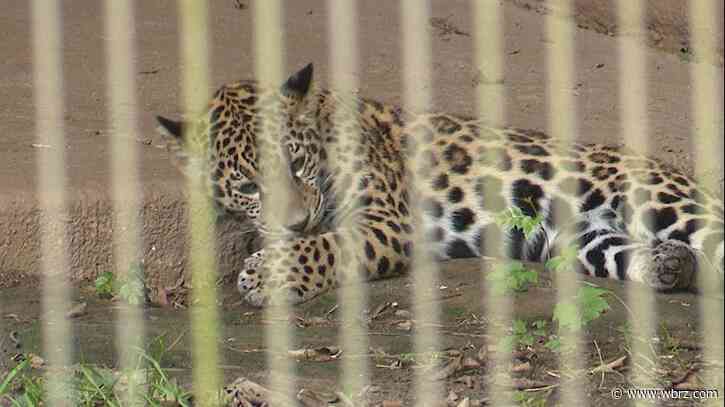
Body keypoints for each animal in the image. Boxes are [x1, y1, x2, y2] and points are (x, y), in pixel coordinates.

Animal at [156, 63, 724, 308]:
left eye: (295, 163)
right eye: (248, 188)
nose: (297, 220)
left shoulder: (389, 221)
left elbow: (327, 245)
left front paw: (266, 274)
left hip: (664, 201)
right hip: (580, 237)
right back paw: (669, 264)